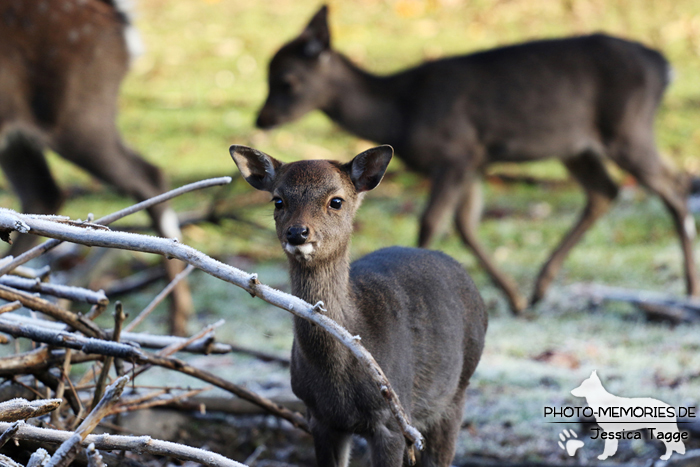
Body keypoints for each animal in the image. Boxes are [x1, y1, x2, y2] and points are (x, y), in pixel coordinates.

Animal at [230, 144, 486, 467]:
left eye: (336, 201)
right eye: (278, 200)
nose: (297, 232)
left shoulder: (391, 420)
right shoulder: (319, 416)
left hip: (457, 392)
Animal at [258, 5, 700, 312]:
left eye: (287, 81)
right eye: (267, 75)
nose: (262, 118)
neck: (402, 111)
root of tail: (665, 67)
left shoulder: (456, 152)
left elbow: (433, 221)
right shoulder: (475, 162)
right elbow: (466, 224)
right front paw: (513, 298)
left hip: (628, 127)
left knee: (674, 185)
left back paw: (690, 289)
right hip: (577, 145)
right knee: (605, 191)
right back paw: (539, 290)